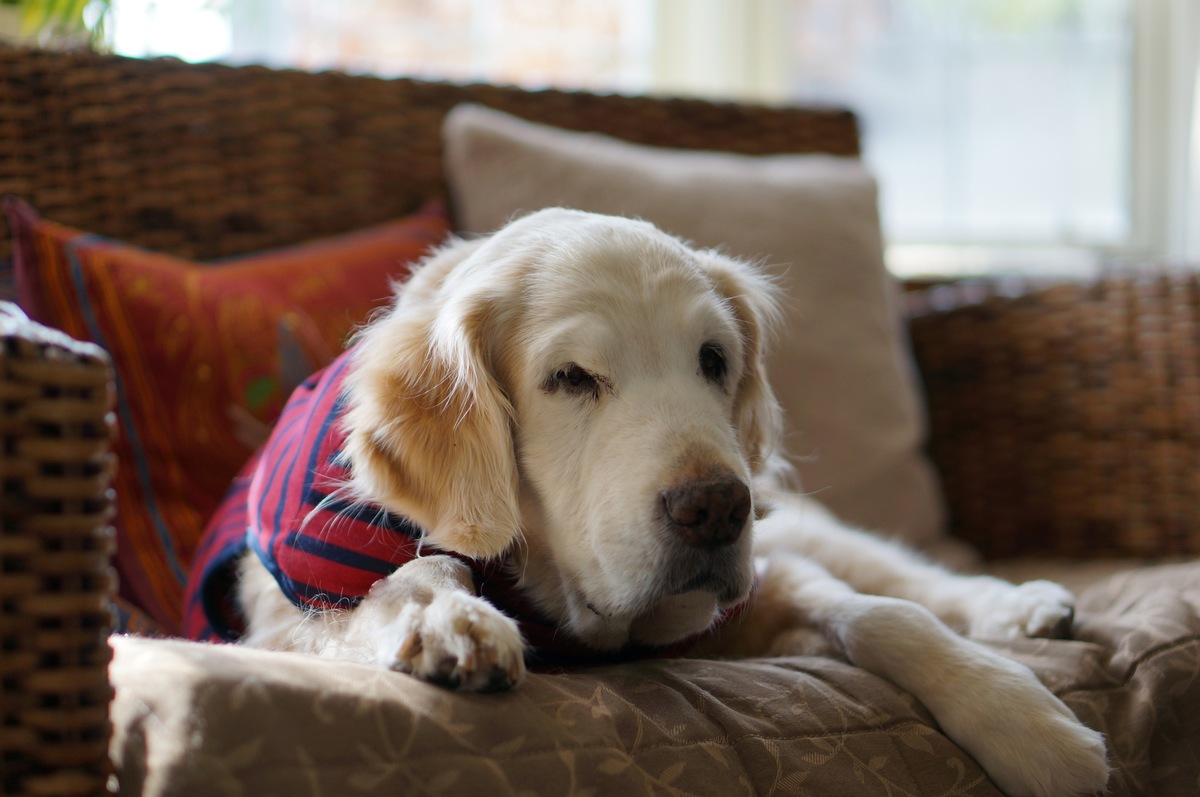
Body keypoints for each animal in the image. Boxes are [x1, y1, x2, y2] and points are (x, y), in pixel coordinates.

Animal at [231, 206, 1104, 797]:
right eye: (571, 377)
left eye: (714, 359)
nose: (717, 508)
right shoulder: (284, 618)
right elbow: (399, 582)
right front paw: (442, 612)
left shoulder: (756, 589)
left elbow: (887, 615)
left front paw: (1025, 722)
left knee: (909, 576)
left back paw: (1017, 605)